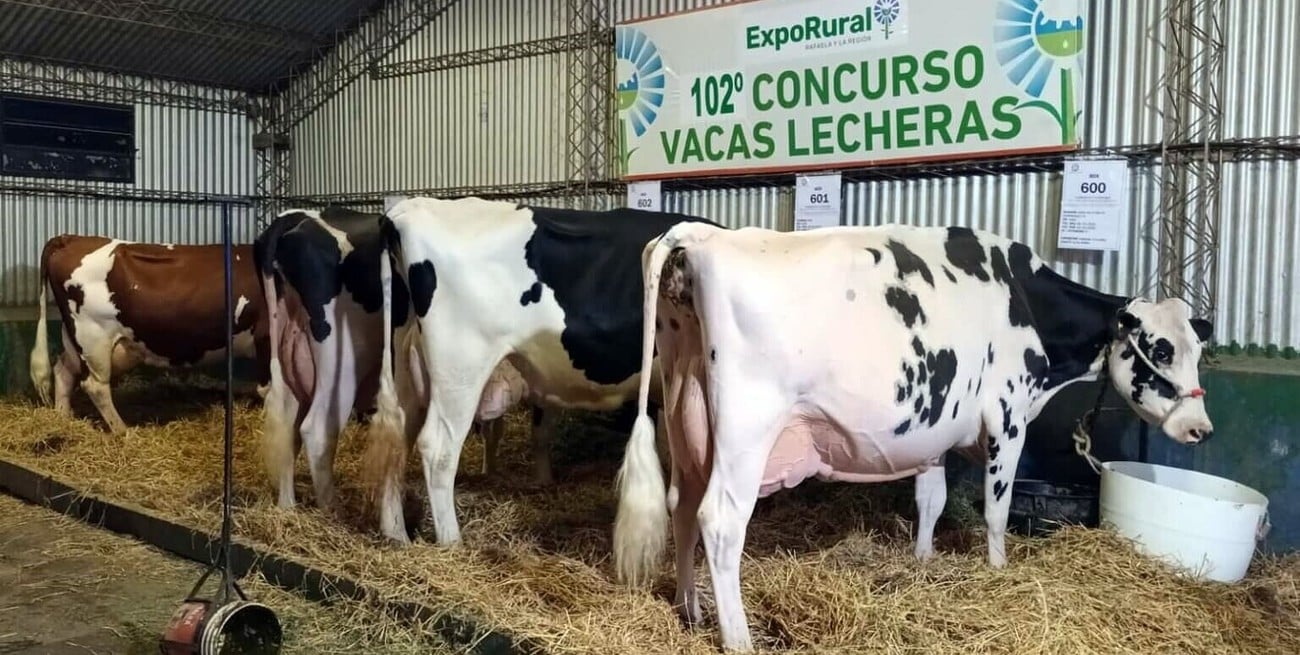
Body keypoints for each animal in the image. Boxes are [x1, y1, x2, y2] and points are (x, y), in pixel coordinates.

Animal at [28, 235, 271, 434]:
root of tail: (70, 238)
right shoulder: (266, 336)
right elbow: (268, 390)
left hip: (76, 338)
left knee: (63, 370)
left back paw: (63, 418)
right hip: (93, 337)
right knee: (95, 385)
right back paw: (123, 431)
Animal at [254, 207, 543, 515]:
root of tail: (295, 217)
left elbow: (495, 428)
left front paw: (491, 470)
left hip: (289, 356)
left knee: (286, 424)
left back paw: (287, 506)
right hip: (340, 367)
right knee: (317, 429)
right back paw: (333, 510)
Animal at [365, 197, 717, 546]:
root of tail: (406, 209)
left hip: (407, 369)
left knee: (398, 439)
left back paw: (395, 532)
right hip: (460, 368)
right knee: (438, 449)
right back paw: (452, 541)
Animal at [612, 222, 1216, 652]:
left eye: (1198, 347)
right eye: (1161, 349)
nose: (1199, 428)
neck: (1024, 300)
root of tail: (703, 235)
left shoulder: (935, 434)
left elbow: (932, 500)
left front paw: (923, 561)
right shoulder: (1008, 416)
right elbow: (996, 510)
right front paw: (998, 571)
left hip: (686, 416)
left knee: (682, 505)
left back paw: (690, 611)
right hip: (747, 426)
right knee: (719, 520)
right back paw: (736, 638)